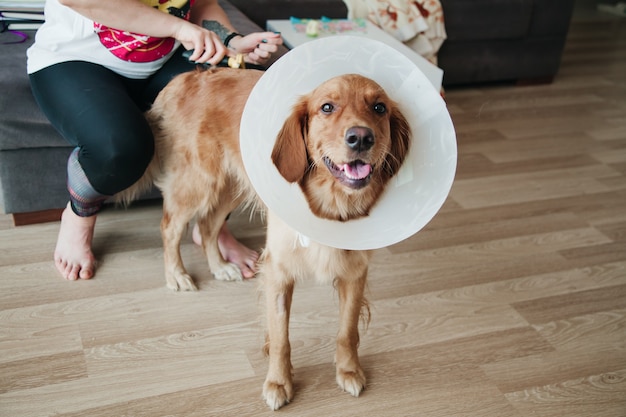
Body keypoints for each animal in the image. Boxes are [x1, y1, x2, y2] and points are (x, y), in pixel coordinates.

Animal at [124, 66, 412, 408]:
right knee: (170, 227)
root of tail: (186, 77)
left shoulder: (354, 272)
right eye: (327, 107)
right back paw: (176, 275)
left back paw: (220, 267)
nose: (361, 138)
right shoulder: (277, 272)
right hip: (199, 181)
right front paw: (278, 383)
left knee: (207, 225)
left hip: (230, 185)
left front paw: (349, 371)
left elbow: (347, 330)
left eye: (379, 107)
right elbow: (280, 337)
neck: (331, 203)